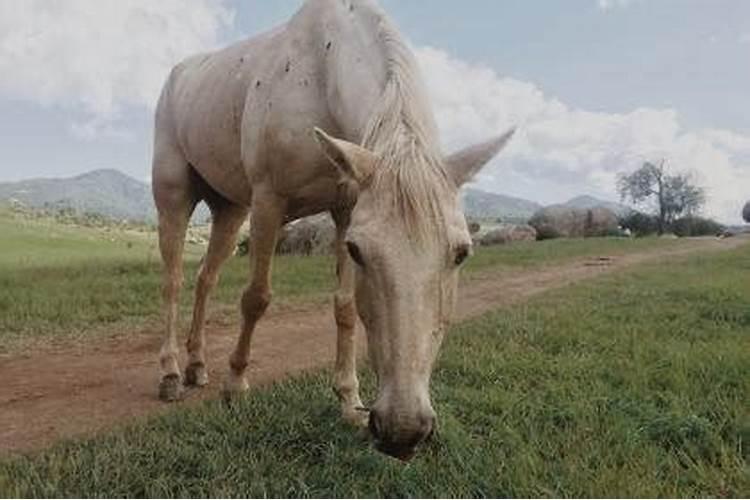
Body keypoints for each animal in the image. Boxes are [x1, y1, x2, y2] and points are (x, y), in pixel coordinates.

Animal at [153, 0, 516, 460]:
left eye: (462, 253)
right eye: (360, 251)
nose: (402, 431)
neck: (320, 74)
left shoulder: (344, 209)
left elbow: (344, 308)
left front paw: (348, 400)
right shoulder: (269, 201)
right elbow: (256, 299)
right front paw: (235, 385)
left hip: (230, 209)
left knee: (205, 279)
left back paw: (197, 365)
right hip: (174, 196)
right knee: (174, 282)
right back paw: (170, 373)